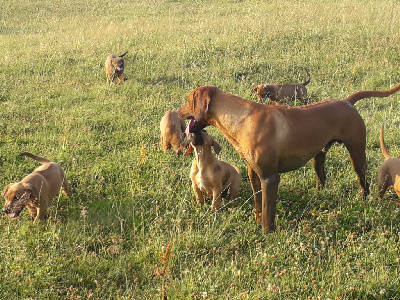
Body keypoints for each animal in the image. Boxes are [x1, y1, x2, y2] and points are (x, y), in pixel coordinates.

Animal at [179, 83, 400, 233]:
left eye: (189, 101)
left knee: (364, 182)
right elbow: (259, 204)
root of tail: (347, 102)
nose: (178, 112)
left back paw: (363, 200)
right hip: (319, 155)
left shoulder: (270, 177)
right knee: (322, 176)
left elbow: (268, 211)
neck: (242, 119)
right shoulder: (253, 173)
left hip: (357, 153)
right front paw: (257, 221)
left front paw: (267, 232)